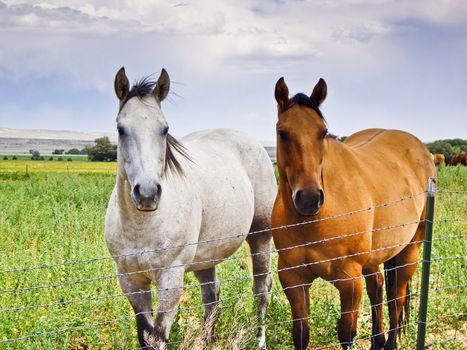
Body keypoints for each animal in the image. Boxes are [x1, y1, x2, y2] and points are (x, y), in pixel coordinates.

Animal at [104, 67, 276, 348]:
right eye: (121, 129)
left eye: (164, 129)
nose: (147, 193)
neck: (142, 225)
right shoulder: (130, 280)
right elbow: (144, 334)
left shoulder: (170, 279)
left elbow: (158, 335)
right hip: (206, 256)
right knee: (212, 296)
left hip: (260, 236)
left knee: (261, 288)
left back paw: (259, 339)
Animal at [272, 77, 436, 350]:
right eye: (282, 132)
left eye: (322, 132)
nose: (309, 198)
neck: (313, 221)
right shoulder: (292, 277)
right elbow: (301, 334)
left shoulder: (349, 280)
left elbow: (346, 333)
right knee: (378, 287)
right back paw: (377, 341)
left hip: (410, 249)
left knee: (397, 298)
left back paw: (389, 343)